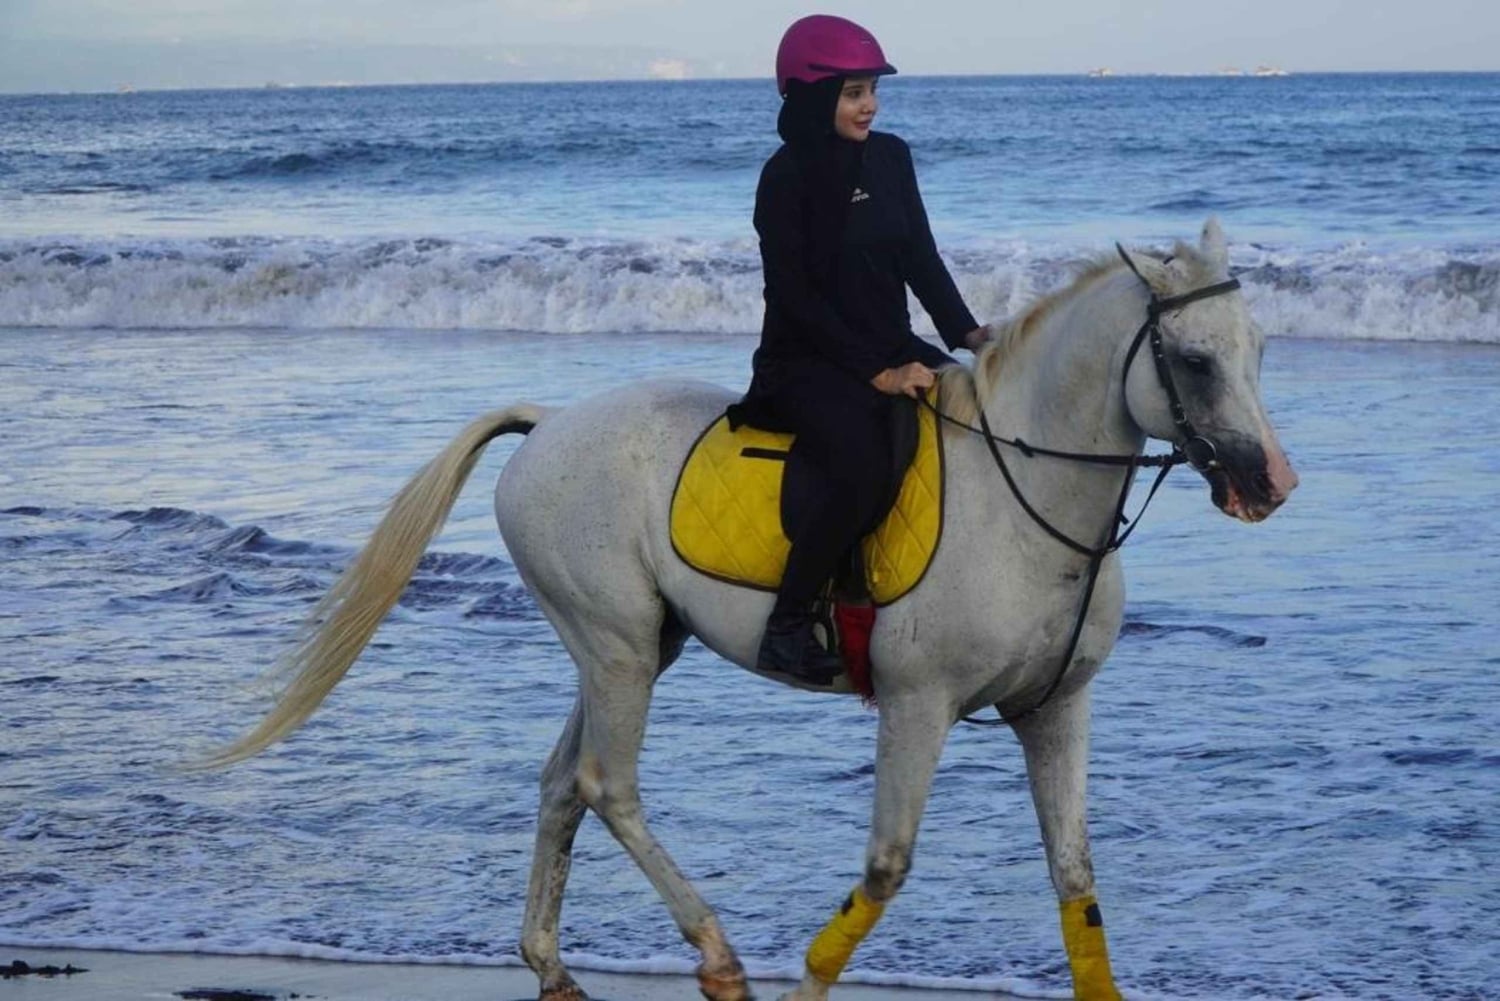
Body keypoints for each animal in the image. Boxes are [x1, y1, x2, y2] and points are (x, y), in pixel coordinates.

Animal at [208, 219, 1297, 1001]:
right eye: (1193, 360)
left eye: (1256, 347)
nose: (1270, 483)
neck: (1023, 494)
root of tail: (548, 425)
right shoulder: (918, 704)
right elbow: (886, 867)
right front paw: (806, 980)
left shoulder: (1055, 709)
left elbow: (1076, 882)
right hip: (618, 648)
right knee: (607, 783)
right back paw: (717, 954)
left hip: (631, 643)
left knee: (563, 782)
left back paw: (553, 966)